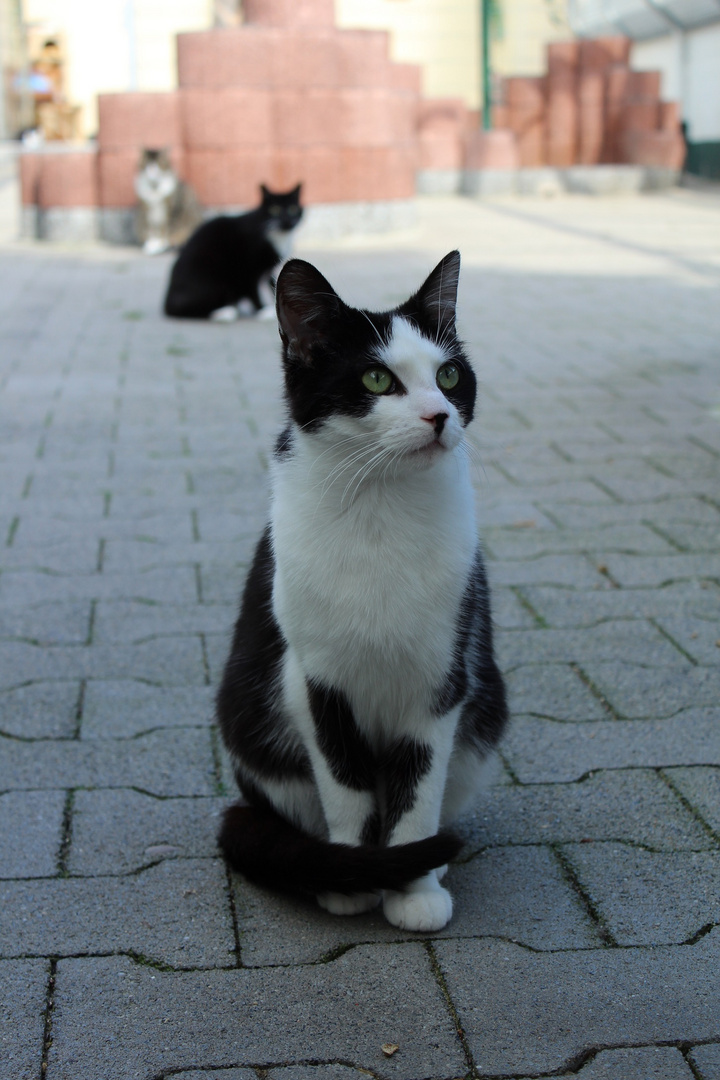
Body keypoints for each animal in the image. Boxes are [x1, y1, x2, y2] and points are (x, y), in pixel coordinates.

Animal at [164, 181, 304, 321]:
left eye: (293, 209)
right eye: (275, 210)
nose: (287, 220)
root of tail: (168, 301)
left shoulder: (268, 269)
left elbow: (274, 284)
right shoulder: (248, 267)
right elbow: (253, 291)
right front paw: (262, 310)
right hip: (214, 282)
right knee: (189, 310)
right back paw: (224, 312)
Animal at [215, 247, 507, 928]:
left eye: (449, 375)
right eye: (377, 381)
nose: (440, 415)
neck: (381, 506)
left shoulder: (439, 682)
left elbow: (416, 793)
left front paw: (415, 889)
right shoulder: (315, 682)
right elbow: (346, 787)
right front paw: (352, 877)